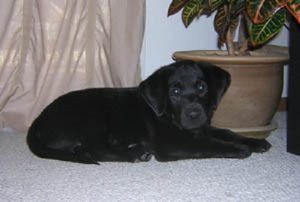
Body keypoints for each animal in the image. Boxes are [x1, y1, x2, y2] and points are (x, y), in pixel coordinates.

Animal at [27, 60, 270, 164]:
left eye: (202, 87)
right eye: (175, 92)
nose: (194, 114)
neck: (169, 116)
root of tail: (37, 120)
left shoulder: (203, 127)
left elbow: (225, 132)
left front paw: (254, 141)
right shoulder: (171, 145)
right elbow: (207, 145)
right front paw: (239, 148)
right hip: (91, 117)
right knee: (95, 150)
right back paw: (135, 154)